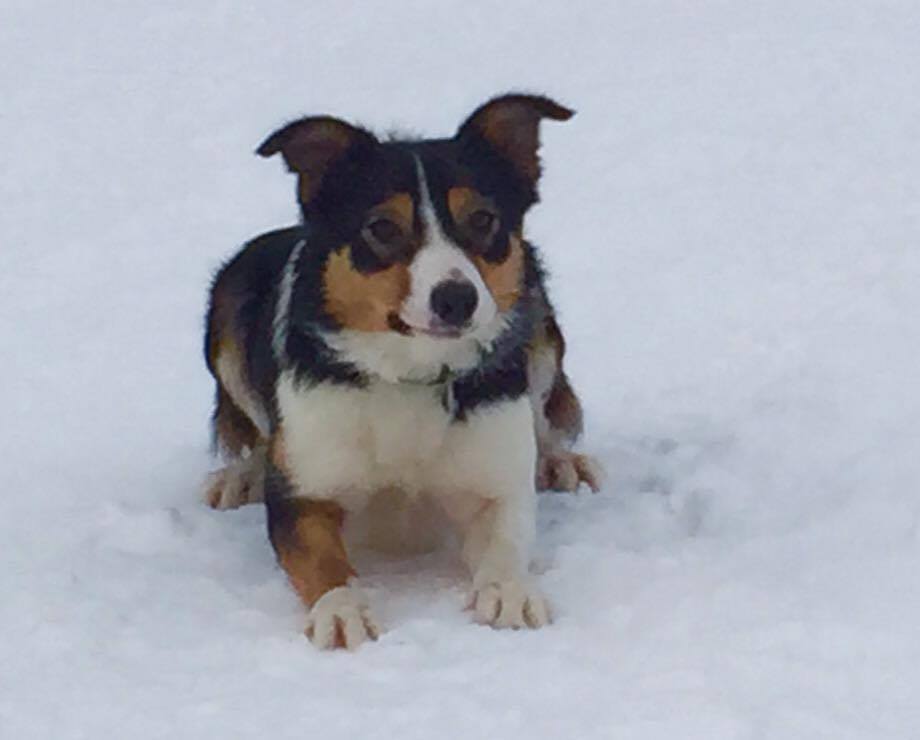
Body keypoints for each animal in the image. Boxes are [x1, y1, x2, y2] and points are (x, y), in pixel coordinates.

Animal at [203, 94, 601, 649]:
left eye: (483, 218)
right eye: (382, 228)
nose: (457, 298)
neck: (410, 376)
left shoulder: (495, 480)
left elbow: (505, 537)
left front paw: (509, 591)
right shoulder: (304, 492)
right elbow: (320, 559)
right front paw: (342, 609)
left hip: (539, 322)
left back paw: (561, 460)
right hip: (226, 304)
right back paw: (240, 476)